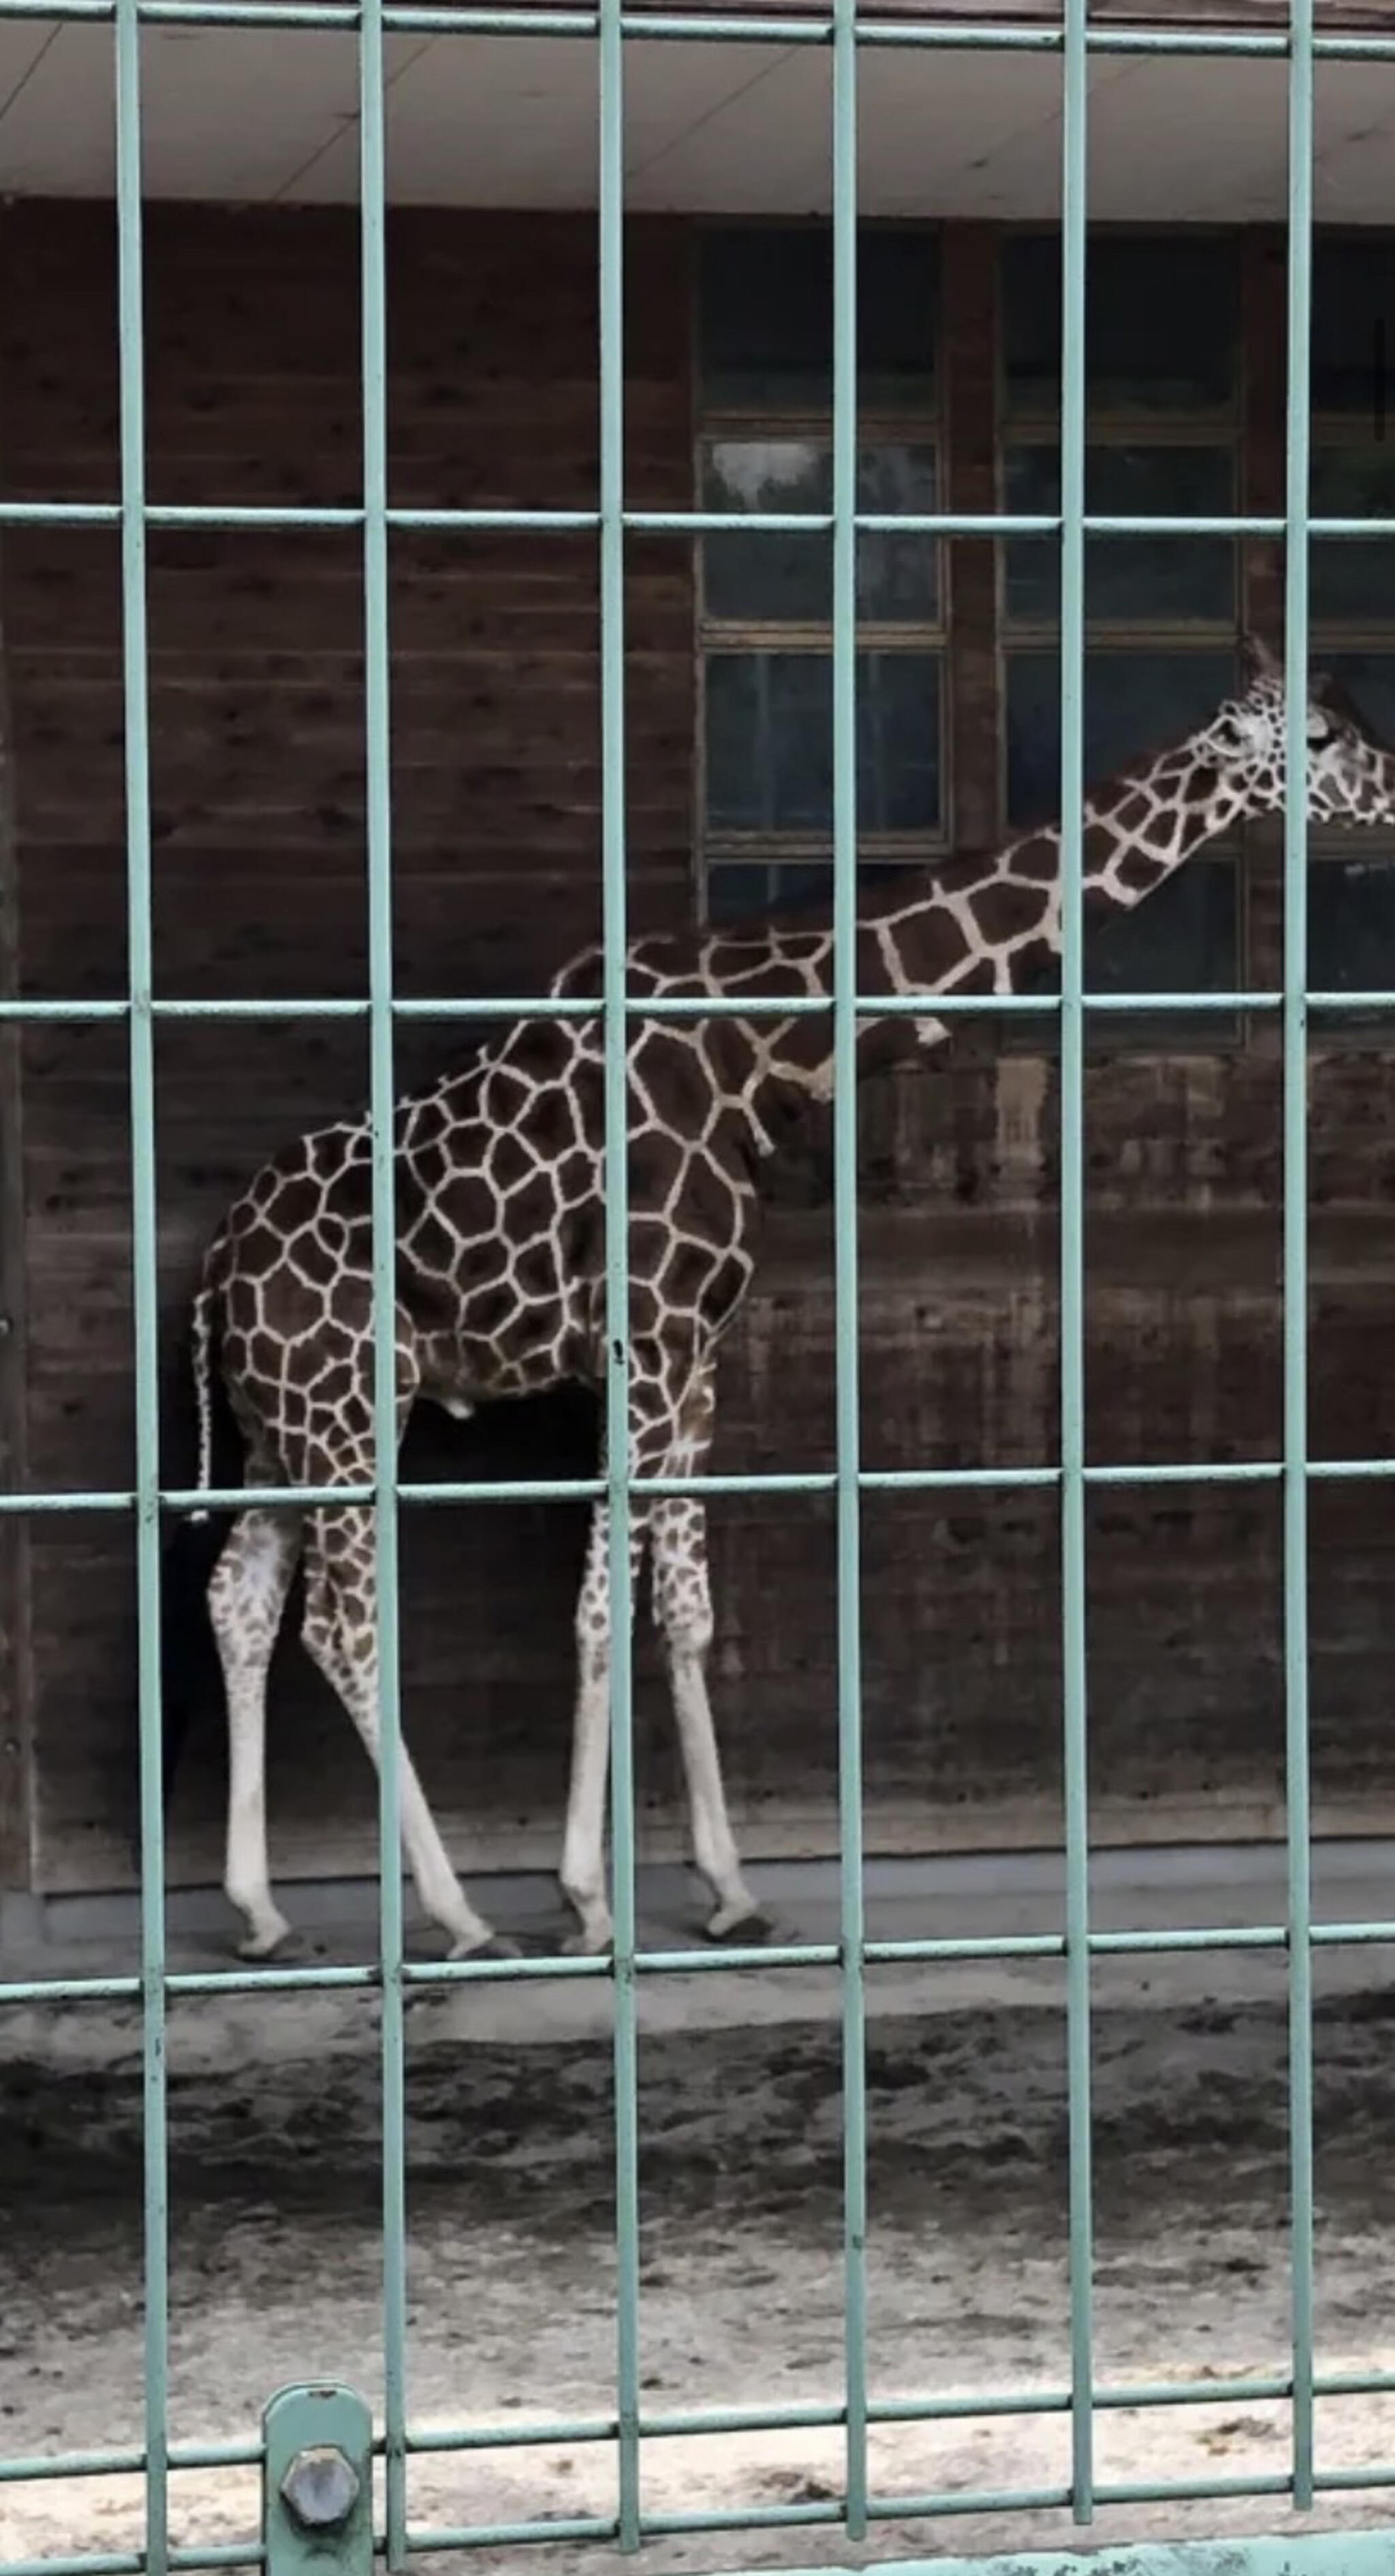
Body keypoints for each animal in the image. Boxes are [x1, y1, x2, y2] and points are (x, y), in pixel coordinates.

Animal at [172, 633, 1395, 1958]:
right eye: (1318, 735)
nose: (1391, 792)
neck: (761, 1049)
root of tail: (217, 1270)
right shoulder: (647, 1341)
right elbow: (602, 1606)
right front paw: (586, 1898)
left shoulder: (695, 1358)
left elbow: (684, 1608)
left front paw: (727, 1886)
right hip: (348, 1410)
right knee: (341, 1627)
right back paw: (456, 1914)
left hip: (287, 1428)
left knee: (240, 1597)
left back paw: (262, 1912)